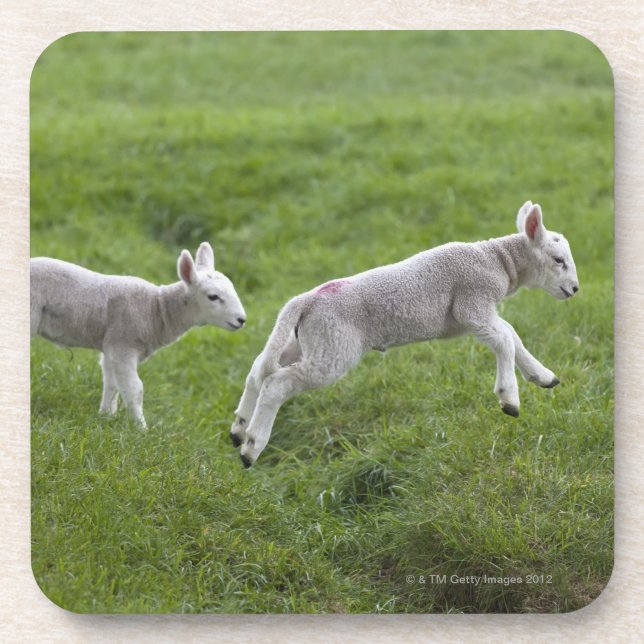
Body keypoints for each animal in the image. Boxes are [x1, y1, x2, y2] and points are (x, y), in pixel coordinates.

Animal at [31, 242, 246, 428]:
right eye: (213, 297)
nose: (241, 320)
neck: (157, 309)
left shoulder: (112, 347)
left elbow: (112, 384)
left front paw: (106, 417)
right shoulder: (123, 345)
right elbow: (135, 389)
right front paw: (141, 429)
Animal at [231, 201, 579, 467]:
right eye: (558, 260)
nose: (575, 289)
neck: (497, 260)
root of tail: (305, 300)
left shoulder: (476, 315)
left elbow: (511, 335)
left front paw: (542, 376)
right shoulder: (472, 303)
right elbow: (506, 338)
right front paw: (509, 398)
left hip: (305, 340)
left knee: (258, 370)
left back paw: (239, 429)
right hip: (334, 347)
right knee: (277, 383)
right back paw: (252, 448)